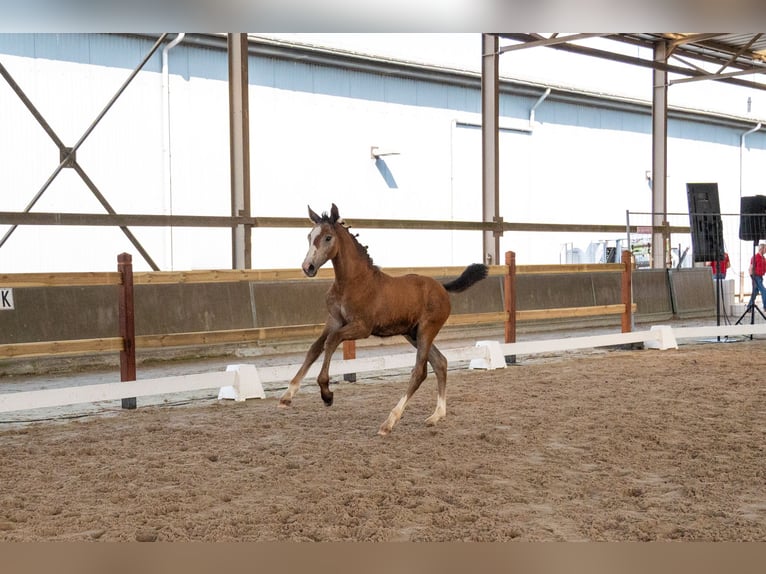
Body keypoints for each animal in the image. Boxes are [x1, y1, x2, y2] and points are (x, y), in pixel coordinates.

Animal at [278, 203, 489, 435]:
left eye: (327, 237)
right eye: (310, 236)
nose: (308, 267)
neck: (352, 281)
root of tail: (442, 288)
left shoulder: (361, 327)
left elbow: (331, 341)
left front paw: (327, 394)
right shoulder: (334, 320)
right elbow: (315, 348)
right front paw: (287, 396)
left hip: (427, 330)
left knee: (420, 371)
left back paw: (389, 422)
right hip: (413, 334)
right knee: (440, 363)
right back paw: (436, 416)